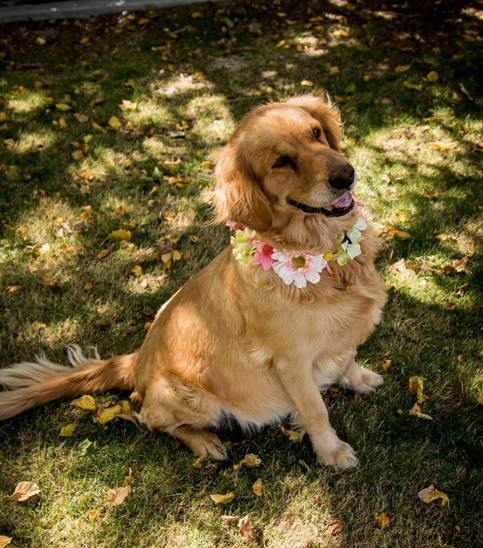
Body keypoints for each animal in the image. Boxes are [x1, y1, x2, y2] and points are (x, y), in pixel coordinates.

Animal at [0, 93, 386, 466]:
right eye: (281, 162)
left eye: (316, 133)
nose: (346, 175)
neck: (323, 250)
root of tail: (136, 361)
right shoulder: (292, 363)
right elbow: (315, 411)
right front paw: (331, 453)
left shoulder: (342, 332)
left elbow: (347, 357)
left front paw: (359, 379)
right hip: (186, 395)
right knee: (151, 419)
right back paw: (204, 443)